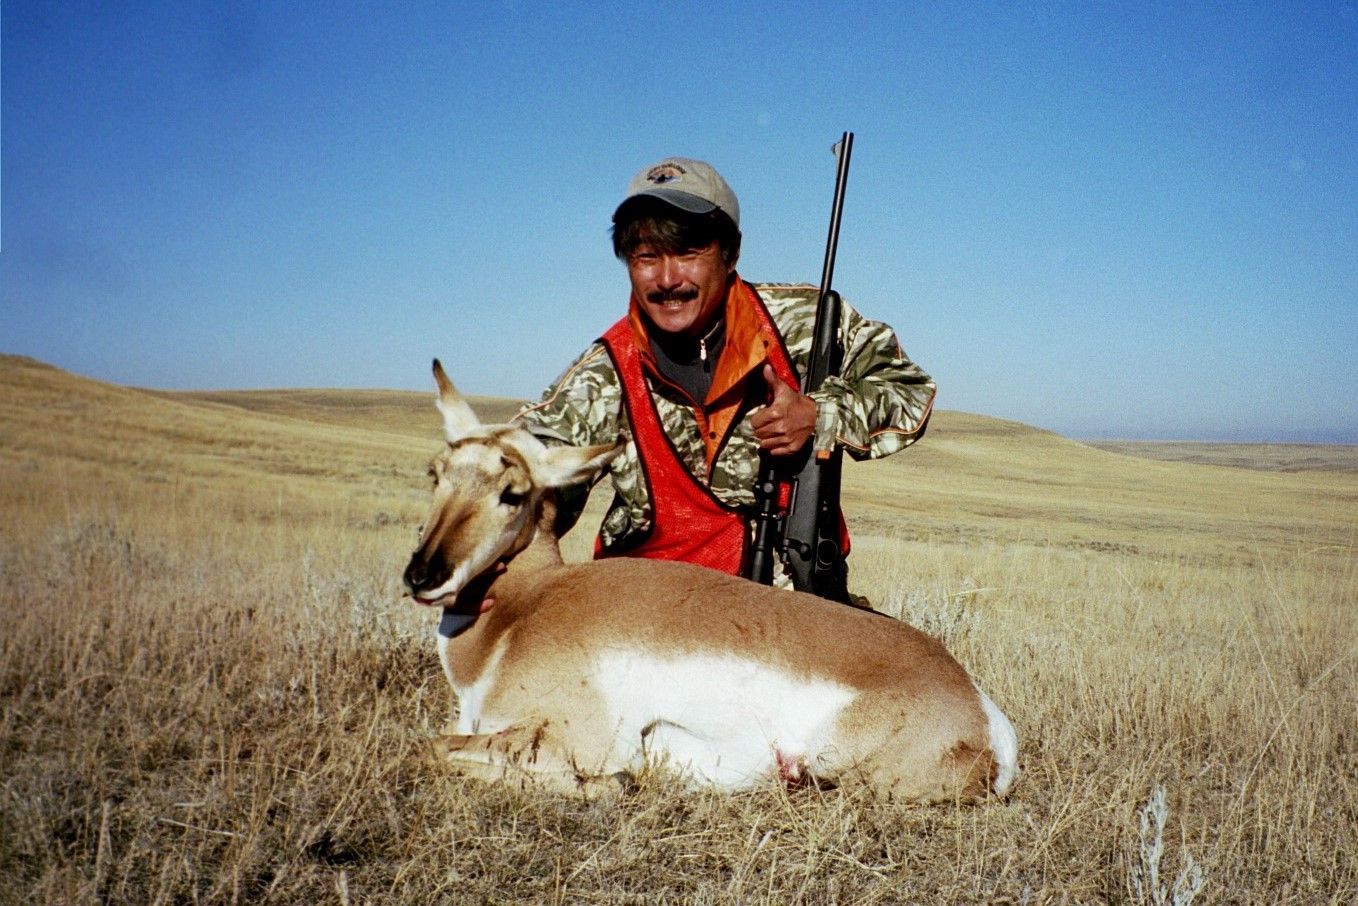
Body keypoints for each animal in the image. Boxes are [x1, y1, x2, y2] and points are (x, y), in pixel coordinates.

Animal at [402, 360, 1018, 803]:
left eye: (513, 493)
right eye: (436, 473)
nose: (422, 574)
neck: (524, 610)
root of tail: (981, 710)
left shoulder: (571, 738)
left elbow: (429, 747)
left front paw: (618, 782)